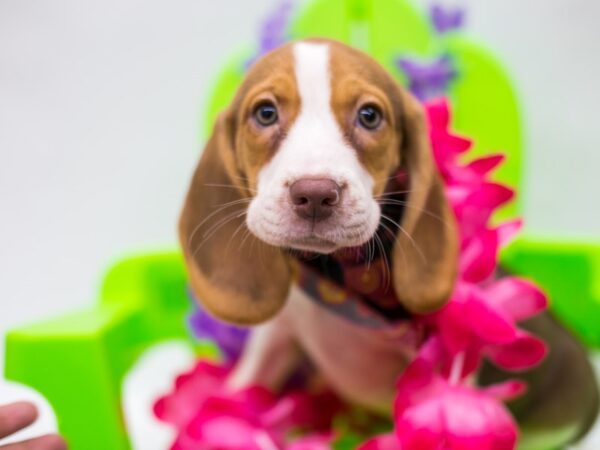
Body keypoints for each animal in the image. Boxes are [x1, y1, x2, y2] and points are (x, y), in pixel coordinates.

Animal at [179, 40, 600, 448]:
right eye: (265, 113)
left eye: (369, 116)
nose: (314, 194)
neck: (336, 279)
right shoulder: (279, 334)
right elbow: (245, 386)